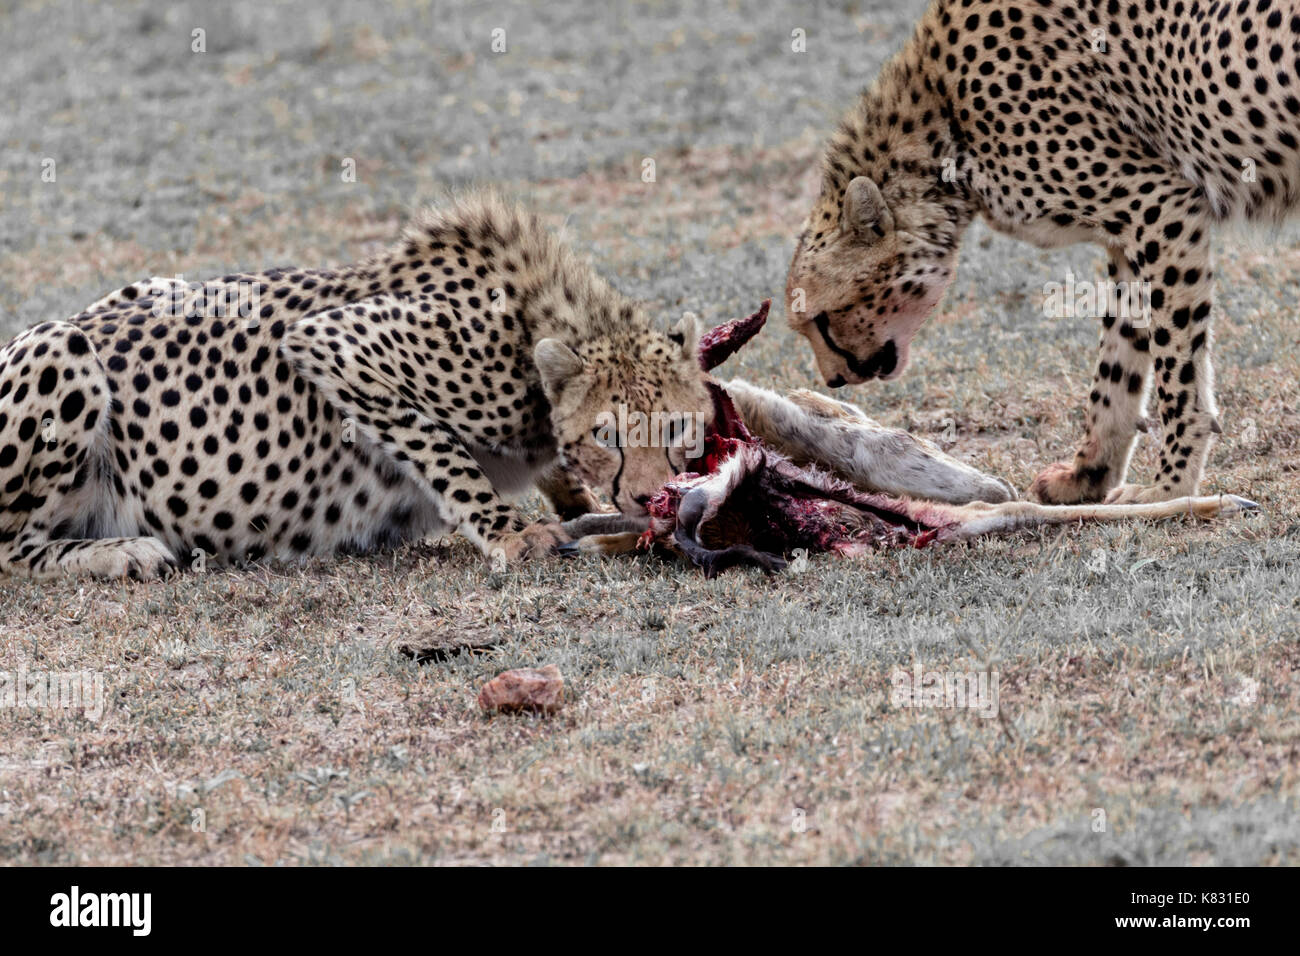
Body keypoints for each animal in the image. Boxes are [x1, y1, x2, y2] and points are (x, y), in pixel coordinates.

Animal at [0, 191, 712, 580]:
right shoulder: (337, 343)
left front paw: (574, 502)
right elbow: (443, 451)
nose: (649, 498)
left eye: (677, 427)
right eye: (607, 436)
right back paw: (121, 553)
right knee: (11, 549)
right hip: (60, 347)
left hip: (158, 282)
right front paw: (511, 532)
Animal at [780, 0, 1300, 509]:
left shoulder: (1158, 206)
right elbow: (1118, 360)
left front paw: (1171, 485)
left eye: (821, 320)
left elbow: (1176, 365)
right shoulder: (1134, 231)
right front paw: (1088, 475)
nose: (833, 380)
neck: (940, 117)